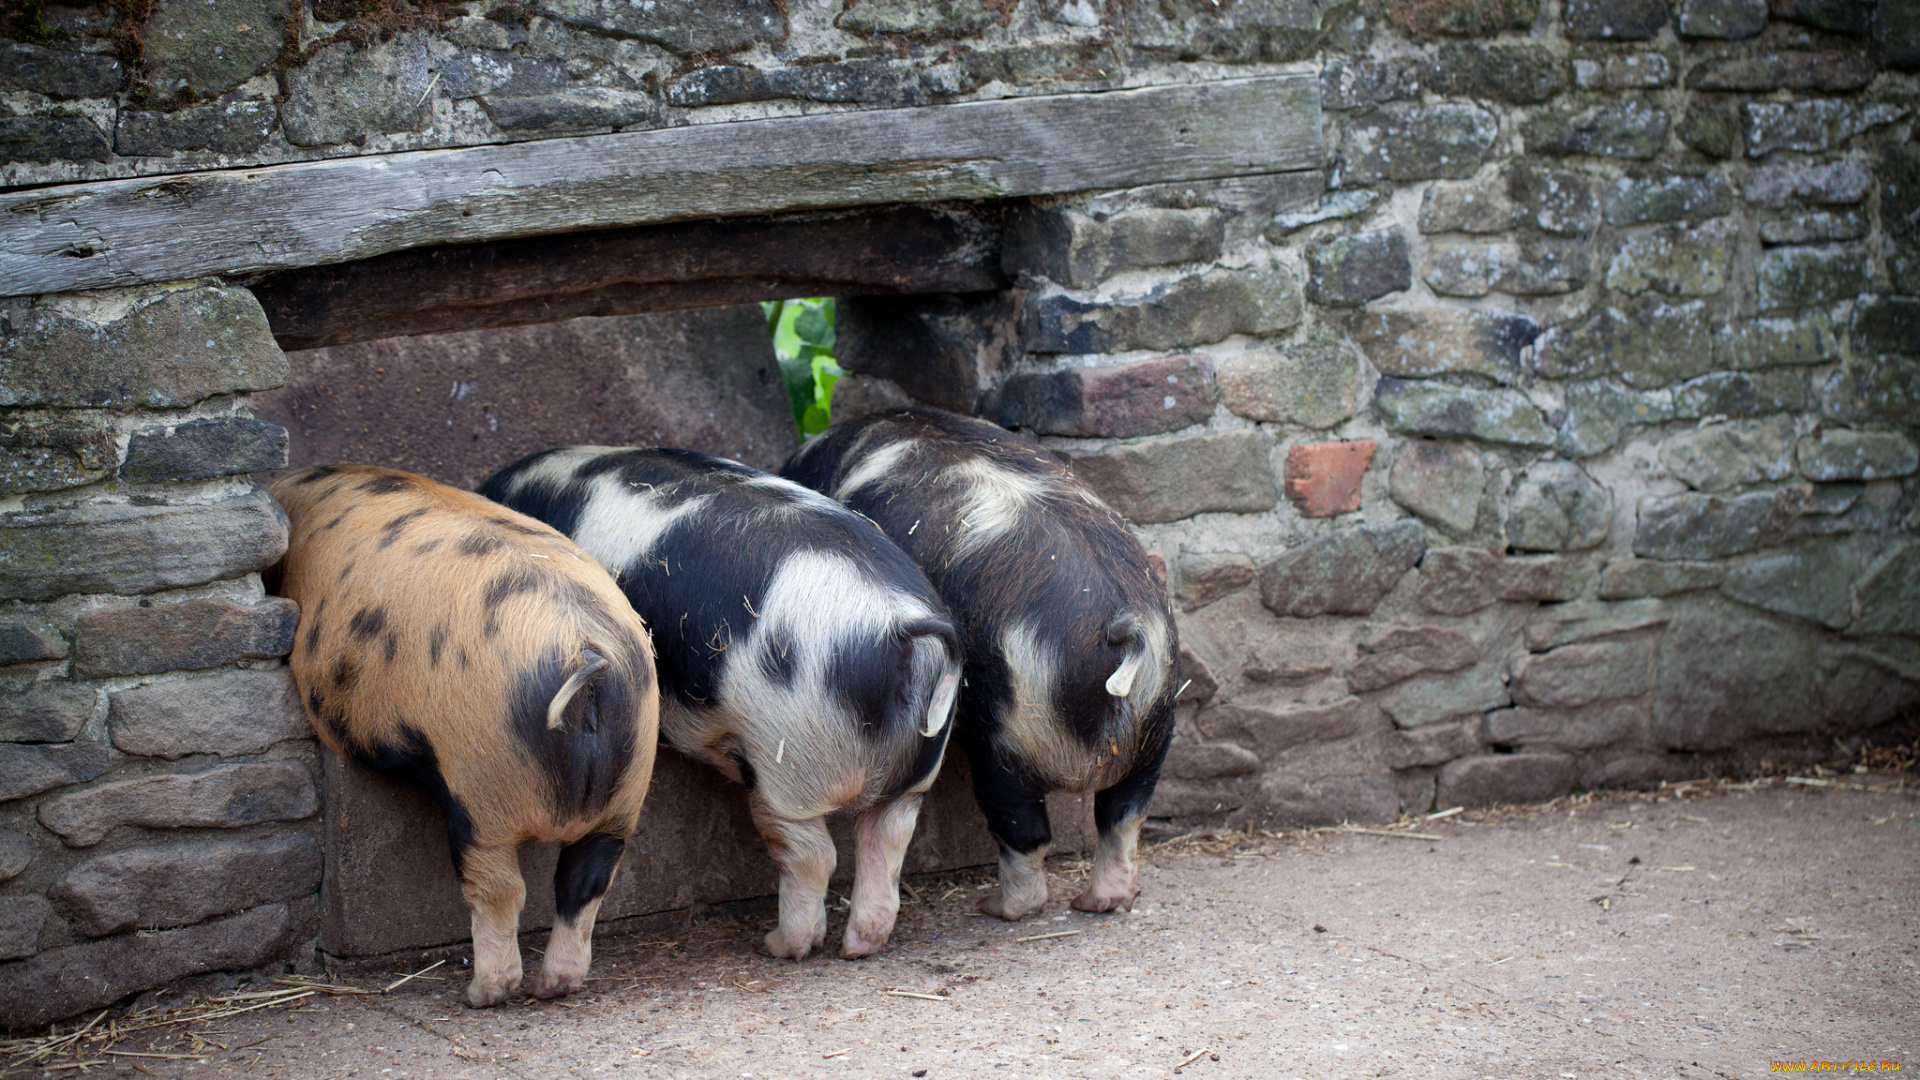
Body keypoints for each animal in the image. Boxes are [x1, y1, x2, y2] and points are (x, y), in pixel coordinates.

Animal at [270, 466, 660, 1006]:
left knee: (501, 888)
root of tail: (585, 652)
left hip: (481, 784)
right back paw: (551, 987)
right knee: (585, 883)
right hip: (629, 785)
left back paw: (481, 994)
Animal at [480, 445, 960, 957]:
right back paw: (855, 948)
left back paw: (779, 946)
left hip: (792, 760)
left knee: (812, 853)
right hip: (915, 771)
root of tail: (902, 626)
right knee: (888, 839)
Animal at [783, 407, 1175, 922]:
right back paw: (1099, 902)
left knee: (1024, 828)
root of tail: (1122, 628)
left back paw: (997, 908)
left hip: (1008, 740)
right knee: (1124, 817)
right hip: (1156, 727)